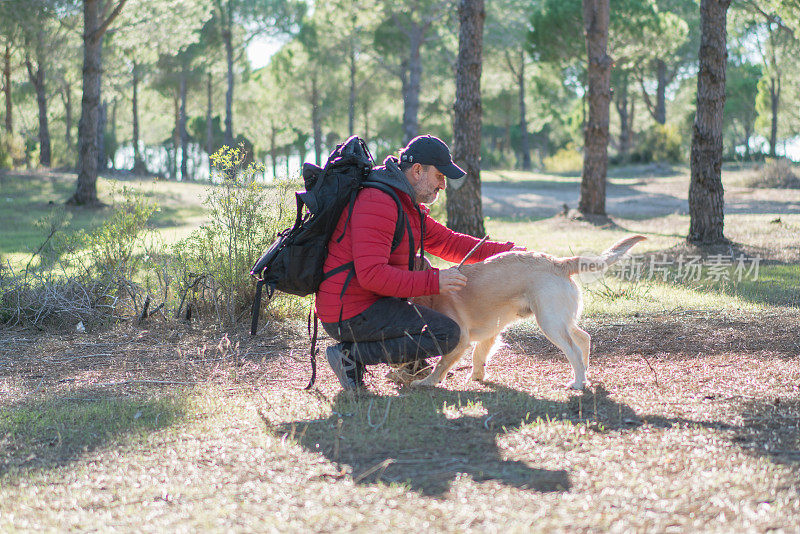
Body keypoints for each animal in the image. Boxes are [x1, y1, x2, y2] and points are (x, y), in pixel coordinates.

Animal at [410, 237, 648, 392]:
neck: (431, 296)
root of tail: (558, 262)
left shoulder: (461, 339)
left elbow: (442, 364)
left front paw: (427, 382)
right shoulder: (492, 330)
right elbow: (479, 355)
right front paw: (477, 376)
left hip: (550, 323)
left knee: (573, 350)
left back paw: (578, 382)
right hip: (561, 320)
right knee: (584, 338)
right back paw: (585, 371)